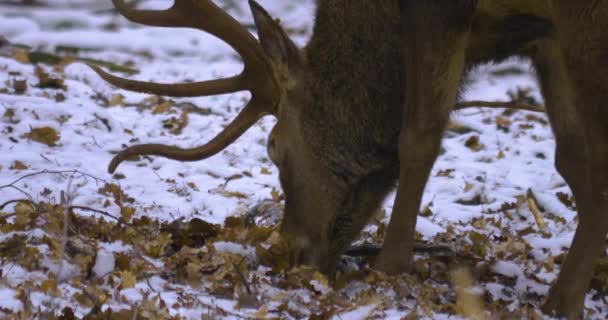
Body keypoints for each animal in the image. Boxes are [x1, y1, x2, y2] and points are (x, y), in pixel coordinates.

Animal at [90, 1, 608, 318]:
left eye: (273, 145)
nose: (290, 250)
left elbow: (419, 133)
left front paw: (390, 265)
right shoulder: (543, 36)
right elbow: (572, 158)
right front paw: (580, 287)